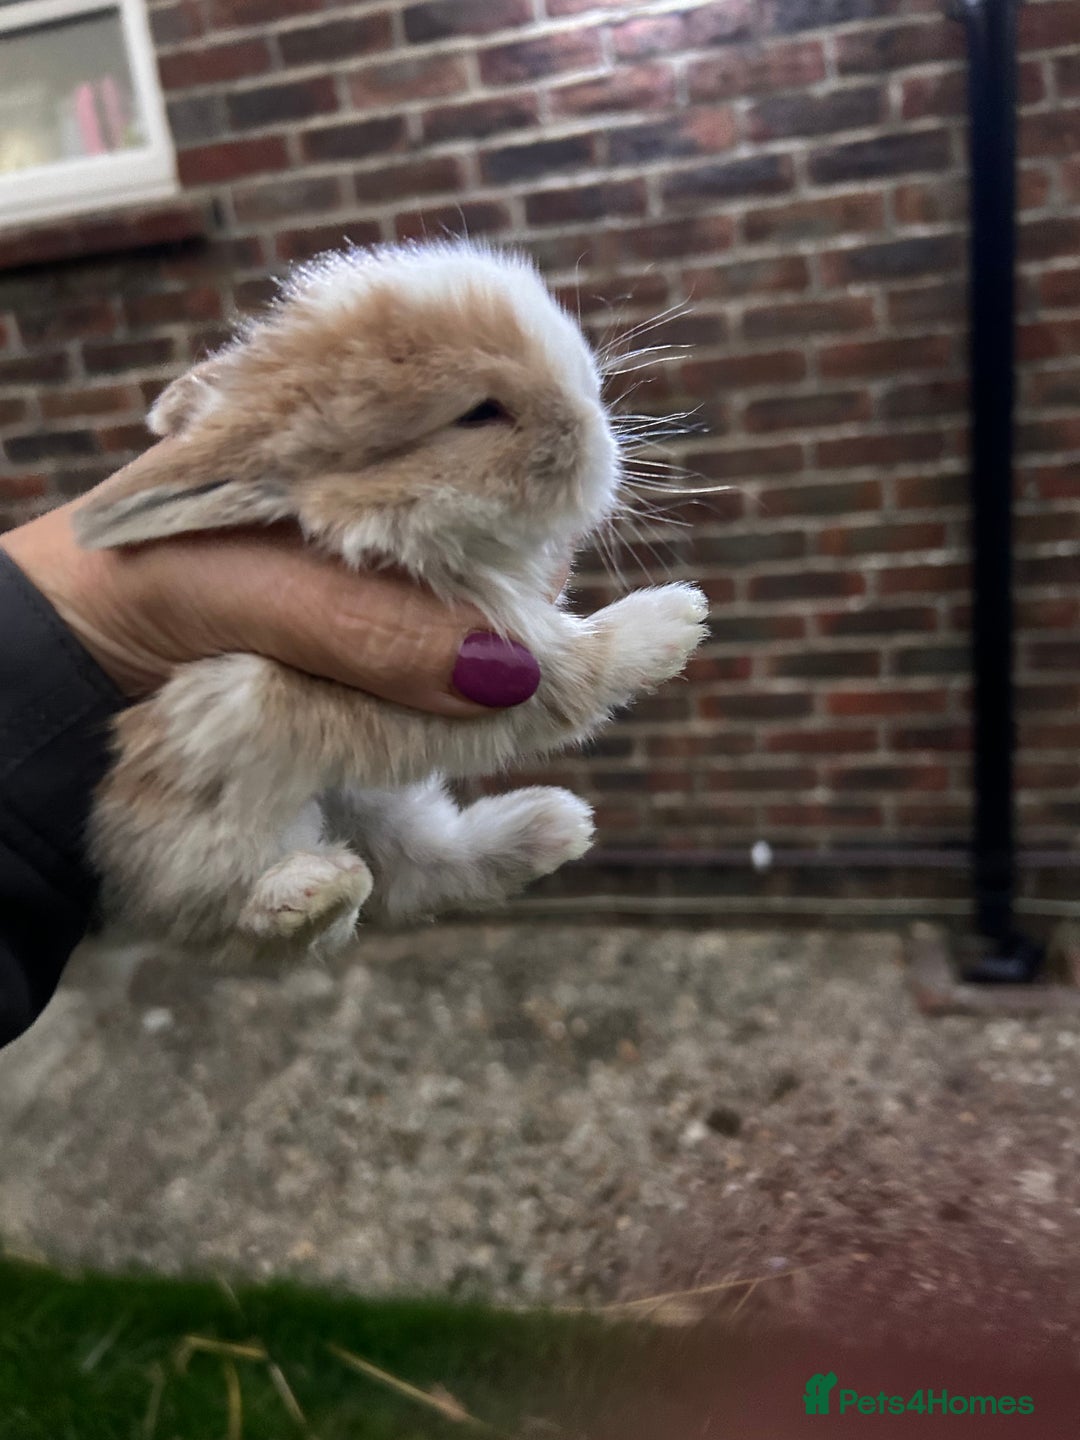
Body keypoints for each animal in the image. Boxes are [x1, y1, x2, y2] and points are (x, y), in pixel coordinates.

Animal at [73, 241, 707, 961]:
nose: (595, 416)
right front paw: (673, 619)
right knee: (265, 925)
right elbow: (565, 675)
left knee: (414, 871)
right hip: (207, 836)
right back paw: (309, 891)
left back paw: (553, 826)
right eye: (478, 412)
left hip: (373, 803)